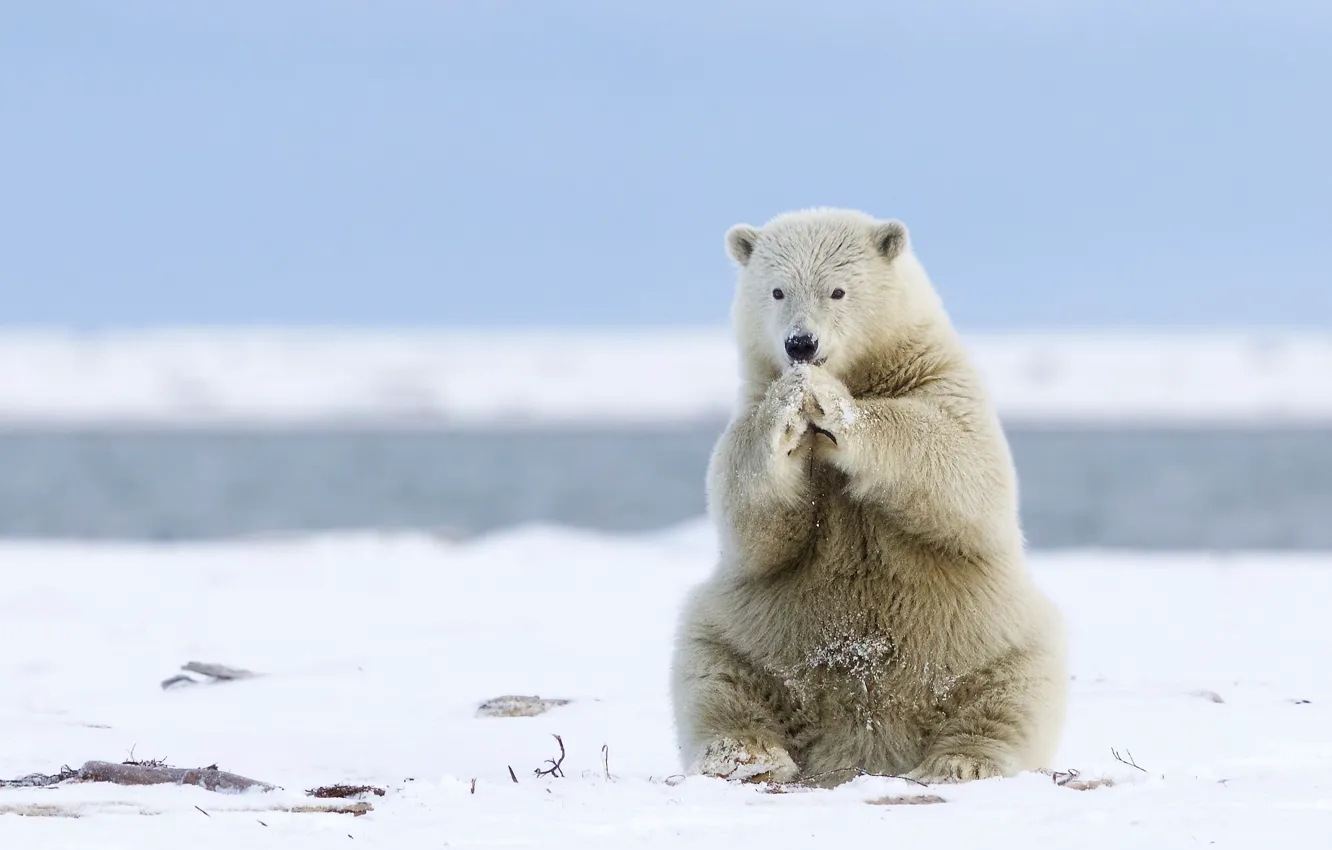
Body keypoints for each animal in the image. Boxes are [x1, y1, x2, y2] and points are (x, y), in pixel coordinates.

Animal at [669, 207, 1067, 786]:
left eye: (838, 290)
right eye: (777, 290)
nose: (801, 344)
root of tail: (862, 749)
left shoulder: (941, 382)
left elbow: (962, 463)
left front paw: (832, 403)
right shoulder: (747, 407)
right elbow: (749, 514)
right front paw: (790, 405)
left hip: (989, 634)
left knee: (1012, 690)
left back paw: (960, 760)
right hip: (749, 631)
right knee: (715, 673)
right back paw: (747, 755)